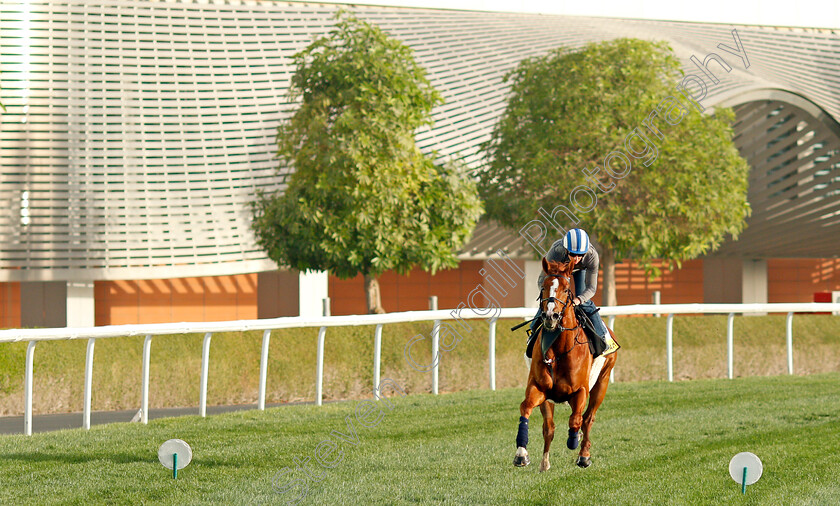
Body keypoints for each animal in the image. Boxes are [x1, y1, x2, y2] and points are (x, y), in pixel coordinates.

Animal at [512, 256, 616, 470]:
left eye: (567, 288)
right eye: (544, 286)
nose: (550, 315)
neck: (559, 349)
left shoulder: (581, 390)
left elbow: (576, 420)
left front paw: (573, 441)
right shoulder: (539, 388)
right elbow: (526, 408)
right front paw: (521, 454)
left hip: (602, 381)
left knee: (588, 418)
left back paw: (583, 455)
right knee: (549, 427)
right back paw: (545, 462)